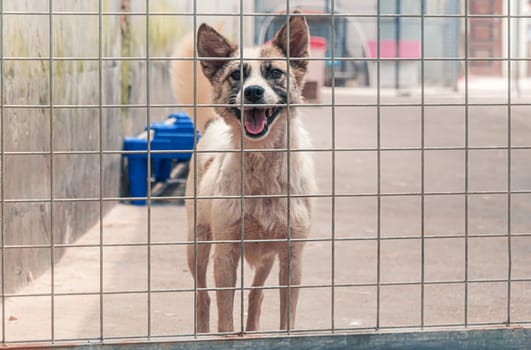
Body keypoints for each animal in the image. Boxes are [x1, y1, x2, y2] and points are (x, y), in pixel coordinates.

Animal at [183, 11, 316, 334]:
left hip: (267, 256)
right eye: (236, 75)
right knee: (202, 295)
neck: (263, 161)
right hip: (197, 246)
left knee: (257, 292)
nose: (253, 91)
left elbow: (287, 317)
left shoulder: (292, 256)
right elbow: (225, 318)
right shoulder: (225, 254)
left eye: (275, 73)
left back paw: (254, 328)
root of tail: (210, 126)